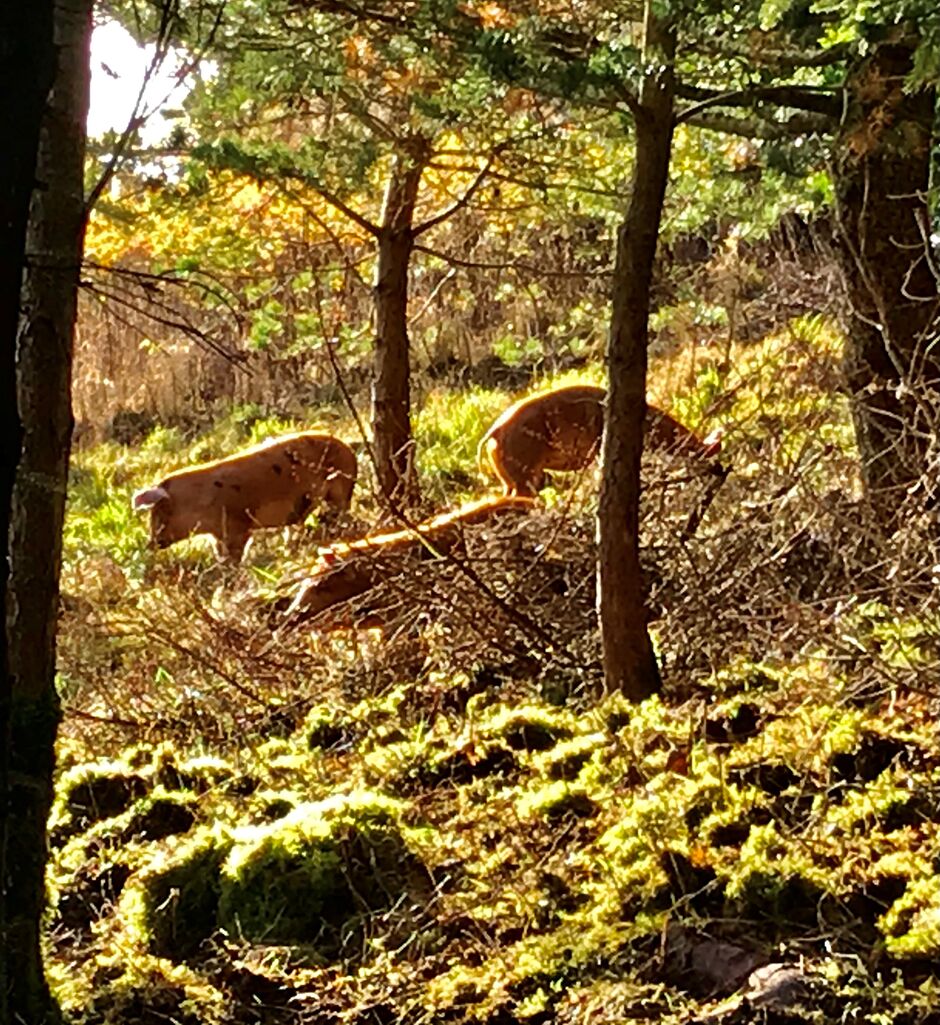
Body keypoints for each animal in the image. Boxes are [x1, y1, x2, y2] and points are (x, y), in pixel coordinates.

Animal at [130, 432, 354, 561]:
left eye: (159, 511)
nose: (151, 544)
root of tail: (348, 448)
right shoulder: (218, 535)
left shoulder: (238, 526)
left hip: (340, 490)